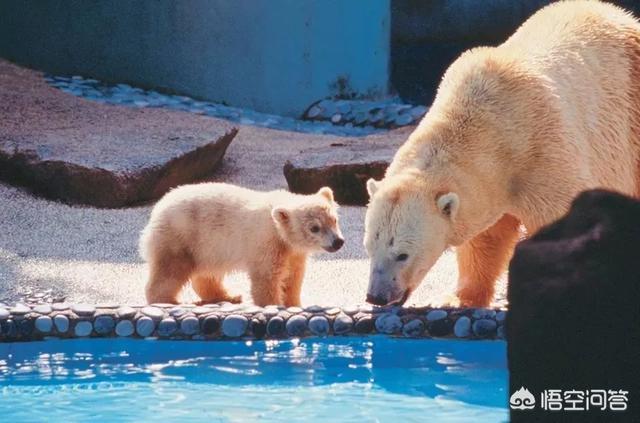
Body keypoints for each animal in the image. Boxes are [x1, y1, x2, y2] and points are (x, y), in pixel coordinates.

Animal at [364, 1, 640, 310]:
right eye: (369, 247)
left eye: (402, 254)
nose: (376, 296)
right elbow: (486, 237)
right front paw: (459, 299)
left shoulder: (545, 152)